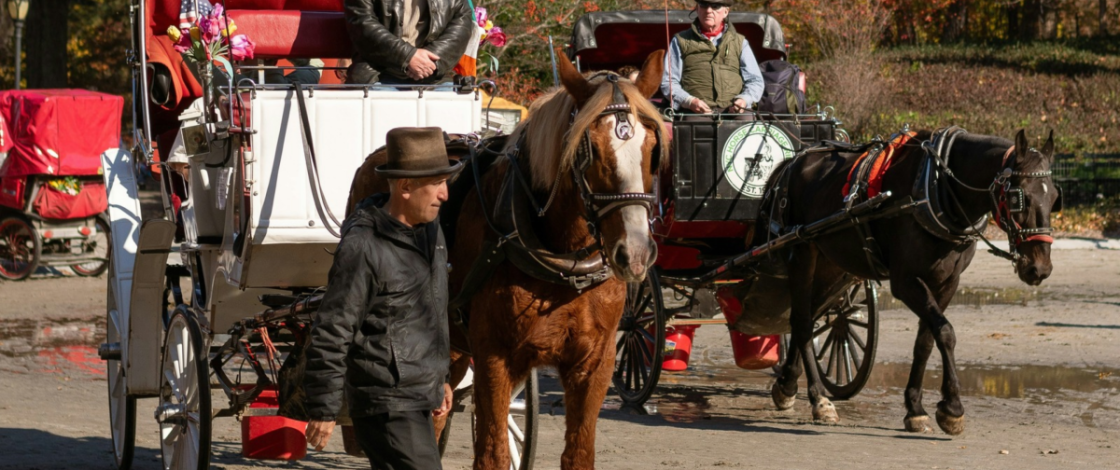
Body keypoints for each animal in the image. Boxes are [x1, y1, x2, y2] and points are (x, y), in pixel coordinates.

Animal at [756, 127, 1059, 435]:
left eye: (1055, 197)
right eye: (1019, 198)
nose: (1040, 268)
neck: (936, 188)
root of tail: (794, 162)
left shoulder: (947, 283)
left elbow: (926, 340)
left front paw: (915, 408)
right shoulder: (905, 282)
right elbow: (945, 332)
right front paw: (952, 407)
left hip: (832, 263)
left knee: (812, 314)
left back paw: (787, 384)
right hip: (802, 252)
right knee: (803, 321)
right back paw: (818, 398)